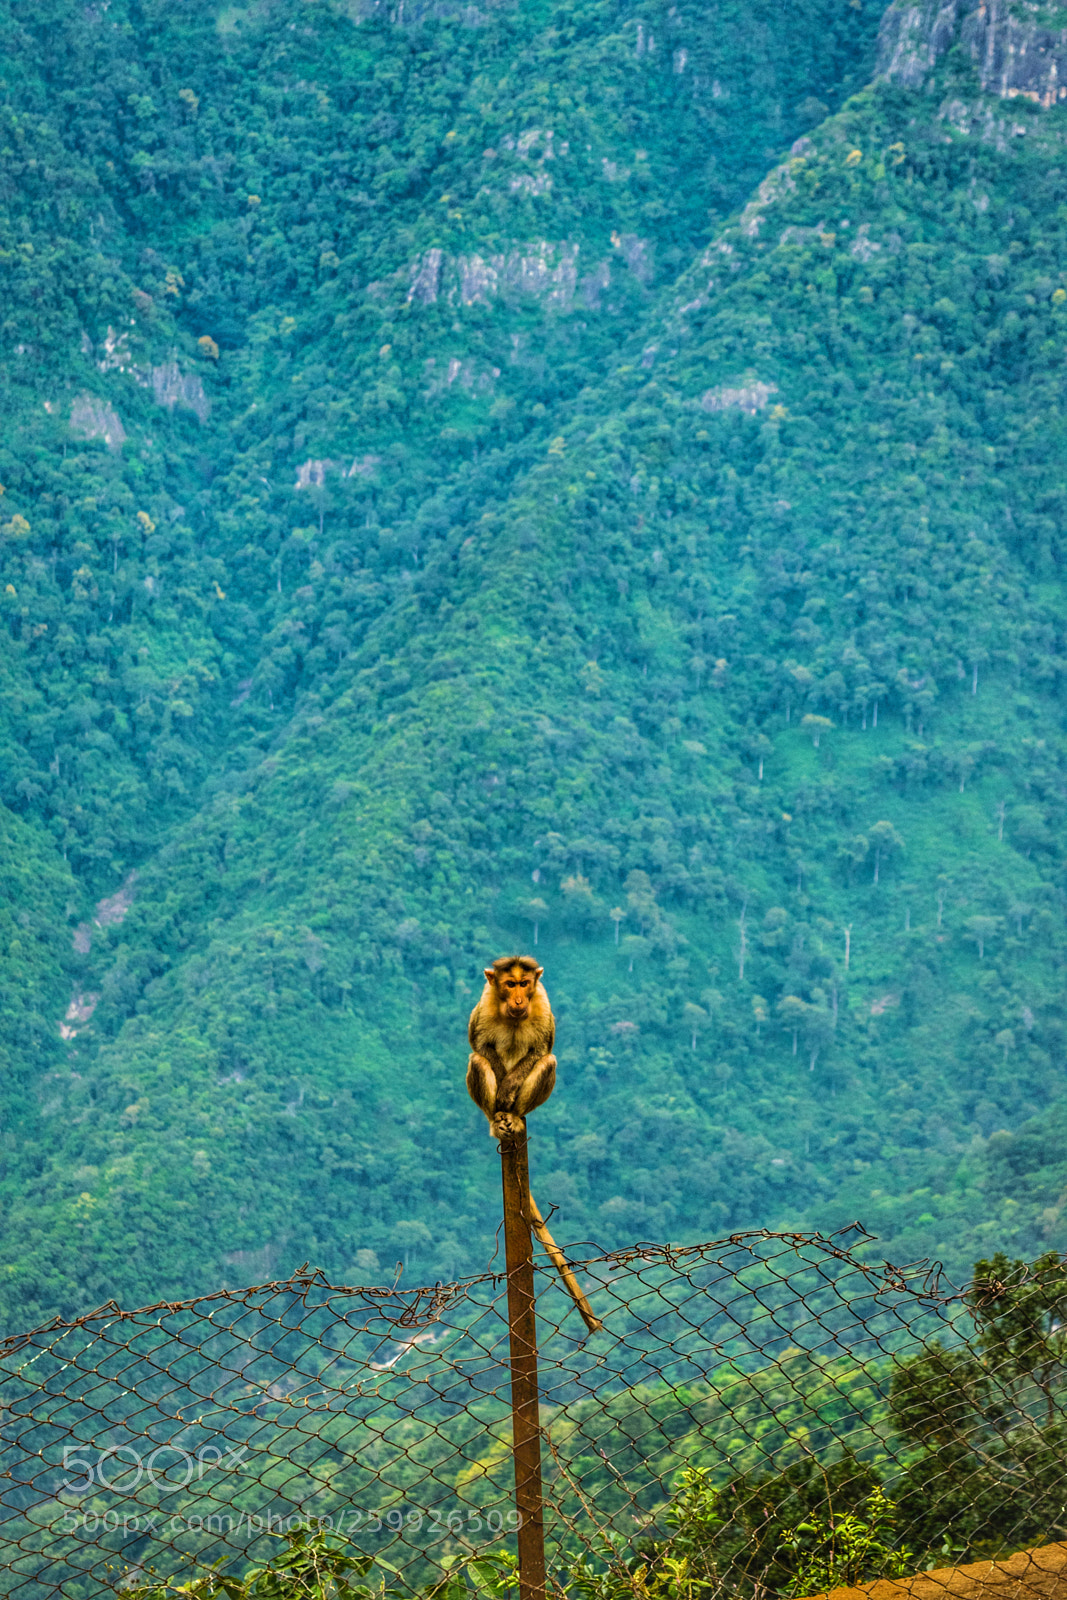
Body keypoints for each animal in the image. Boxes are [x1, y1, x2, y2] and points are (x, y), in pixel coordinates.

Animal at [466, 955, 557, 1139]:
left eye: (524, 984)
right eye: (510, 984)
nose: (519, 1001)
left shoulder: (541, 1002)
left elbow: (540, 1049)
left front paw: (507, 1087)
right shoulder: (487, 1000)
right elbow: (480, 1044)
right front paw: (502, 1080)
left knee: (548, 1062)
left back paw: (514, 1116)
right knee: (478, 1061)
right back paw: (495, 1122)